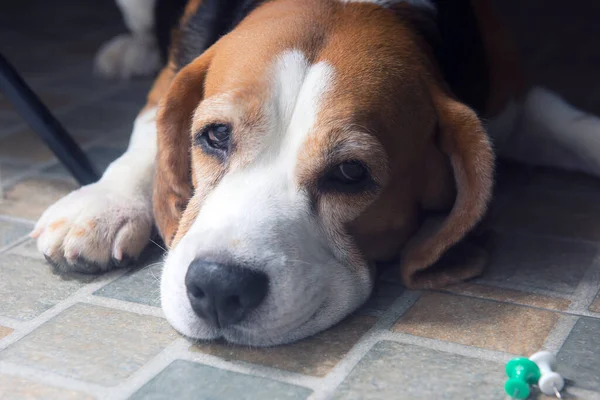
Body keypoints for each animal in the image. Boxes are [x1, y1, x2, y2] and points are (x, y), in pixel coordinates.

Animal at [31, 0, 600, 346]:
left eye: (350, 172)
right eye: (214, 136)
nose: (217, 287)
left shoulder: (512, 104)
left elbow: (578, 127)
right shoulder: (177, 75)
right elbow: (146, 133)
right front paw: (101, 204)